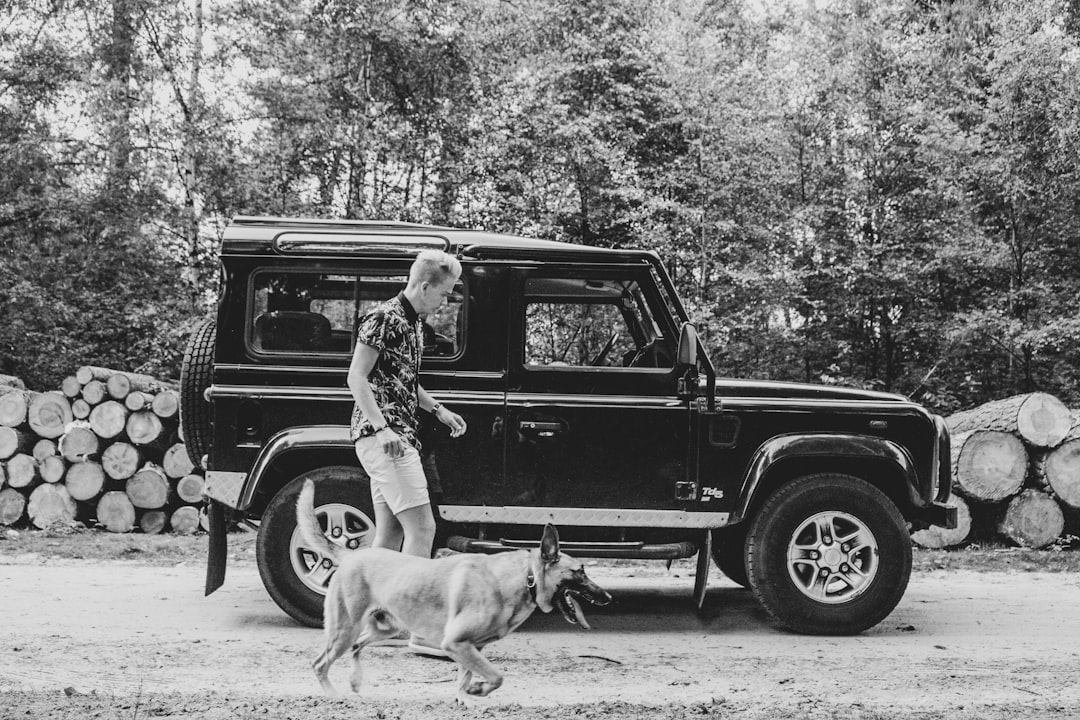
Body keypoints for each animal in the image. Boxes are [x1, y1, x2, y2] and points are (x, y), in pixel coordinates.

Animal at [300, 479, 613, 699]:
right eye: (581, 571)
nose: (608, 597)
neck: (525, 578)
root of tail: (350, 555)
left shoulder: (470, 648)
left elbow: (466, 680)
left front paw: (468, 695)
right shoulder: (457, 643)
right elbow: (496, 676)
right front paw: (478, 690)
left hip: (385, 627)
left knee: (356, 647)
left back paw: (355, 682)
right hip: (345, 629)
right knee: (319, 663)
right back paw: (334, 695)